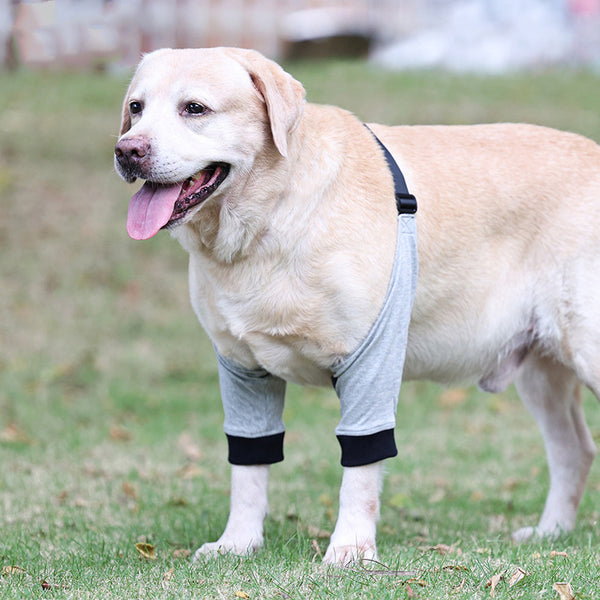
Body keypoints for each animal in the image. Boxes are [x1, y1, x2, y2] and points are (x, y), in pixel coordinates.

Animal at [116, 48, 600, 568]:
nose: (127, 150)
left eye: (195, 108)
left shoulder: (372, 357)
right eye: (137, 108)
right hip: (541, 369)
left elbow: (362, 462)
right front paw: (238, 543)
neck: (270, 221)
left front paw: (350, 547)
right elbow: (248, 464)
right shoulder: (241, 369)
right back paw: (551, 532)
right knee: (574, 450)